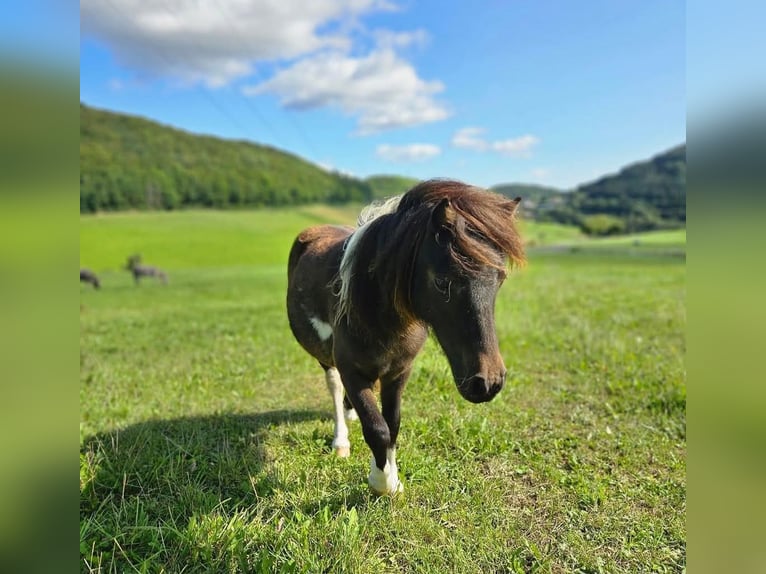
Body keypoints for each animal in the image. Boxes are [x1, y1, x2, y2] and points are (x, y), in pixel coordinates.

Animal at [284, 180, 524, 496]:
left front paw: (393, 477)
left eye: (500, 279)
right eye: (442, 281)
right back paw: (340, 441)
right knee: (334, 386)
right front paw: (381, 482)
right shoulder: (352, 371)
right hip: (326, 358)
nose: (488, 383)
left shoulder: (399, 372)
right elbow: (377, 428)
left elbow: (393, 423)